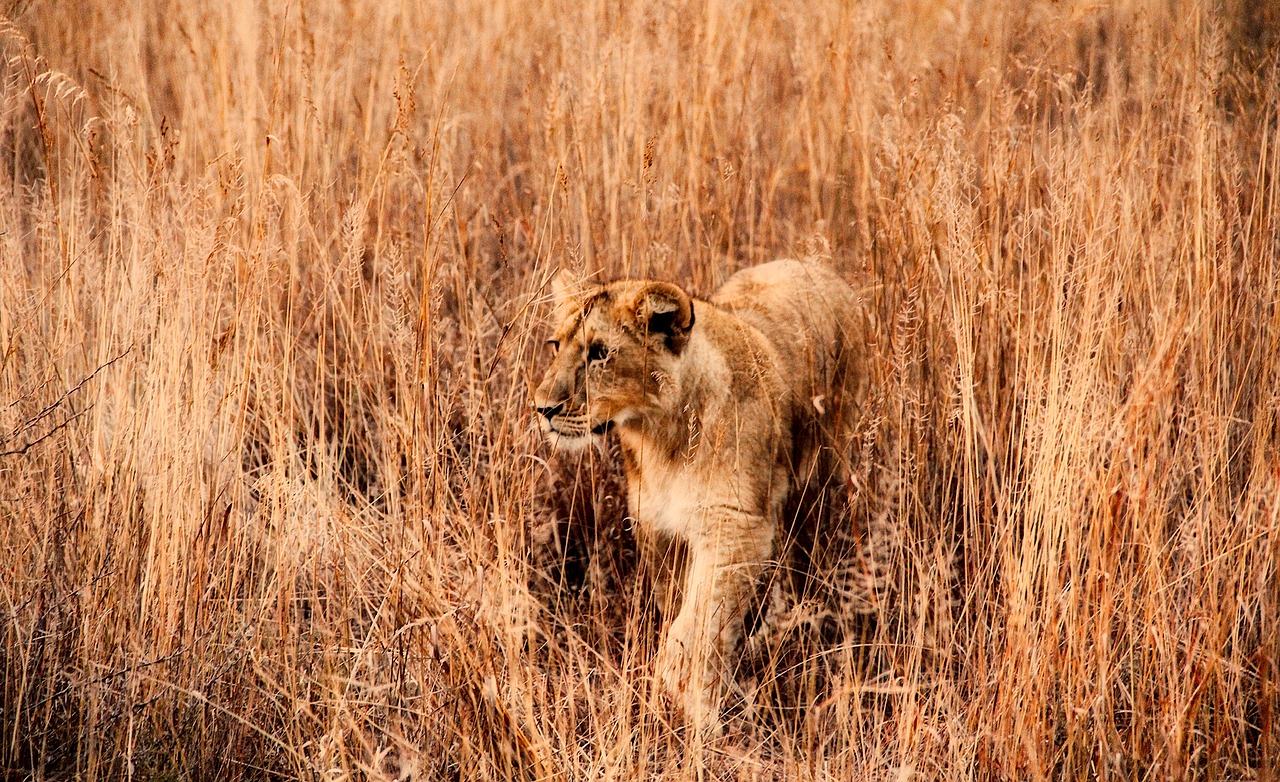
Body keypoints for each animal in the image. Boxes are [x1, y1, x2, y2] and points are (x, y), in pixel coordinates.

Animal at [529, 259, 860, 732]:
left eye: (599, 353)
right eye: (556, 345)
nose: (543, 409)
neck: (658, 435)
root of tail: (810, 263)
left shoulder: (737, 527)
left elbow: (699, 622)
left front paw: (692, 704)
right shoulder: (656, 527)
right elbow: (681, 609)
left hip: (830, 461)